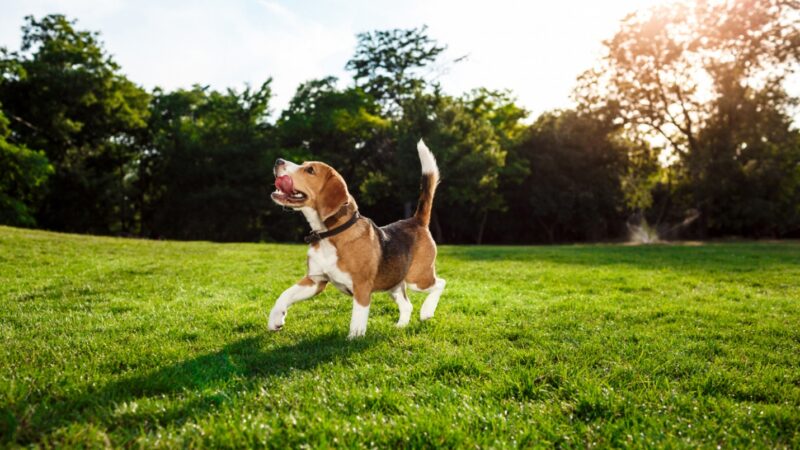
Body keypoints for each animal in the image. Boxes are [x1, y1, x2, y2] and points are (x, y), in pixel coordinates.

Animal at [268, 141, 444, 338]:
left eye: (310, 170)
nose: (278, 161)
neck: (329, 235)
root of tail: (416, 221)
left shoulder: (361, 287)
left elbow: (357, 318)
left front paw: (354, 339)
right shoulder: (315, 281)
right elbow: (285, 294)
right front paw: (275, 318)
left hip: (418, 278)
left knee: (440, 284)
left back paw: (427, 311)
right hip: (394, 283)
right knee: (407, 305)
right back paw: (400, 326)